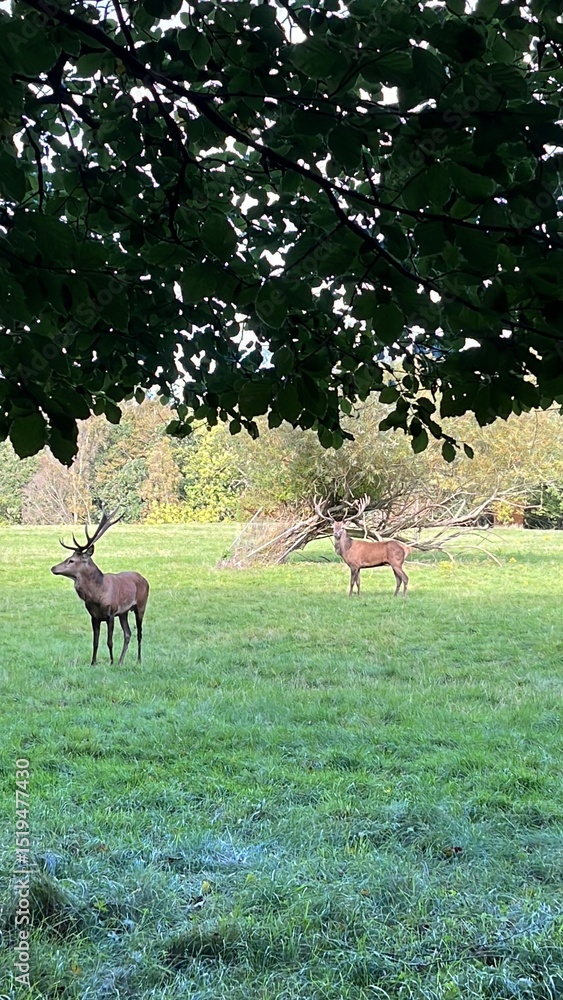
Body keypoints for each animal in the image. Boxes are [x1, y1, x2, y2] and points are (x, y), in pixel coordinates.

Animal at [51, 508, 149, 666]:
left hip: (141, 606)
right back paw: (121, 661)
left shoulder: (111, 613)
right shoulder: (94, 616)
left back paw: (138, 660)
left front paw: (111, 662)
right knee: (128, 633)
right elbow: (95, 642)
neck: (97, 594)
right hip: (124, 612)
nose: (53, 568)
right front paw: (93, 663)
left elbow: (109, 641)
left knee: (139, 633)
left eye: (71, 560)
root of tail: (145, 579)